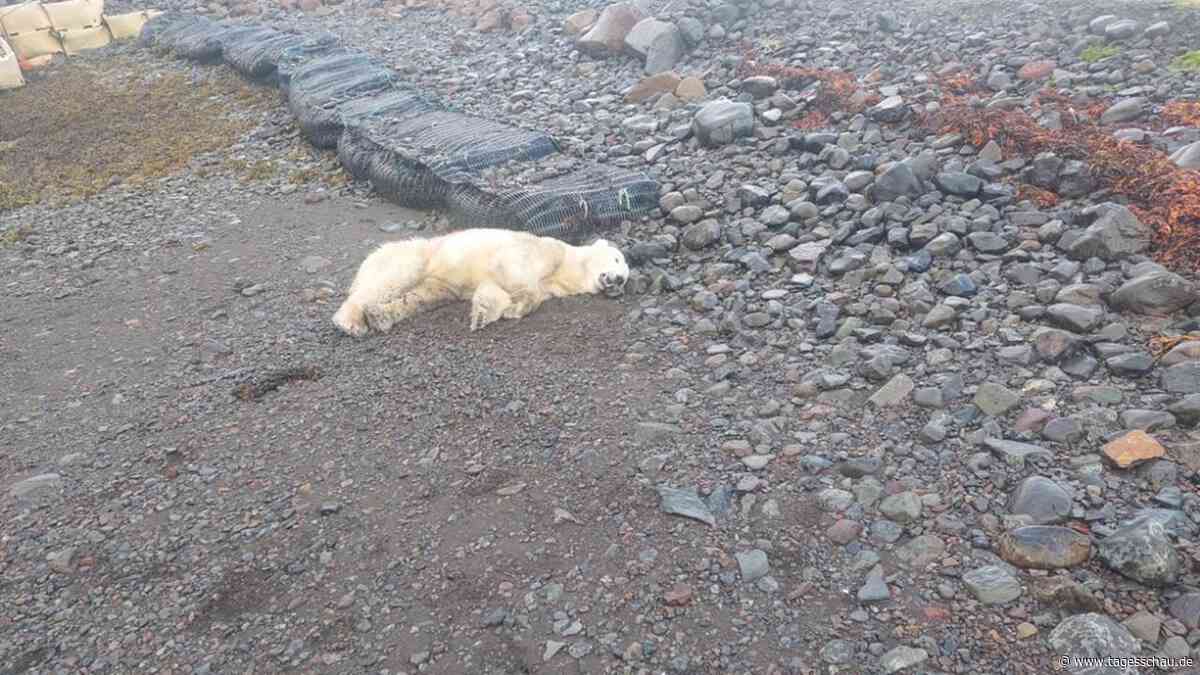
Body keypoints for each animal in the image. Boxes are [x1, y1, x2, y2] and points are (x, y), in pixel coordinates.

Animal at [328, 227, 628, 336]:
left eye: (625, 279)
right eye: (616, 259)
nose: (618, 280)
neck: (566, 268)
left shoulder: (550, 285)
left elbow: (493, 289)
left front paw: (486, 313)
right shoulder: (544, 250)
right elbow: (517, 272)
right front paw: (514, 307)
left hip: (436, 282)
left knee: (423, 296)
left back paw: (380, 317)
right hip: (414, 256)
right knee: (389, 281)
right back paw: (351, 322)